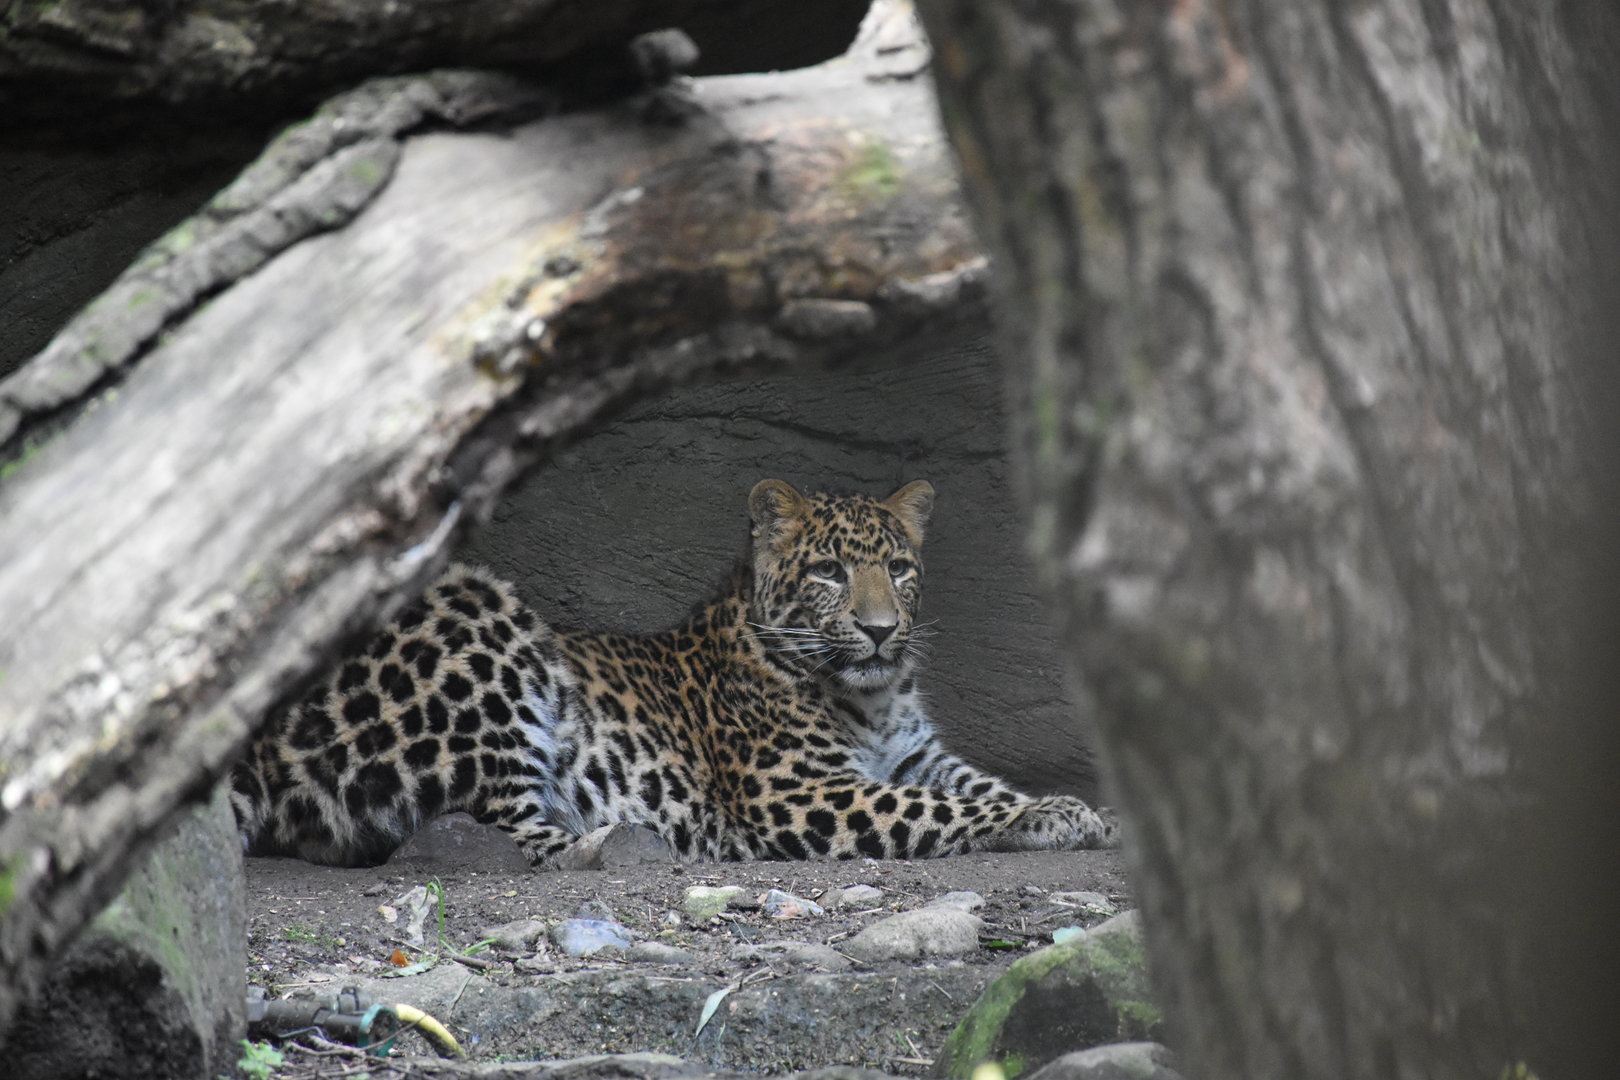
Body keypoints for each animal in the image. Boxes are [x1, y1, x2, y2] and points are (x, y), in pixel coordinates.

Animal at [230, 478, 1119, 867]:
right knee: (506, 824)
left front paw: (1088, 811)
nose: (878, 630)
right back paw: (619, 844)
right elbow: (937, 809)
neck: (870, 699)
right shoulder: (798, 794)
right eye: (829, 571)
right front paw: (1049, 818)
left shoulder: (915, 755)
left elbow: (976, 785)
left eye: (899, 569)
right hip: (472, 608)